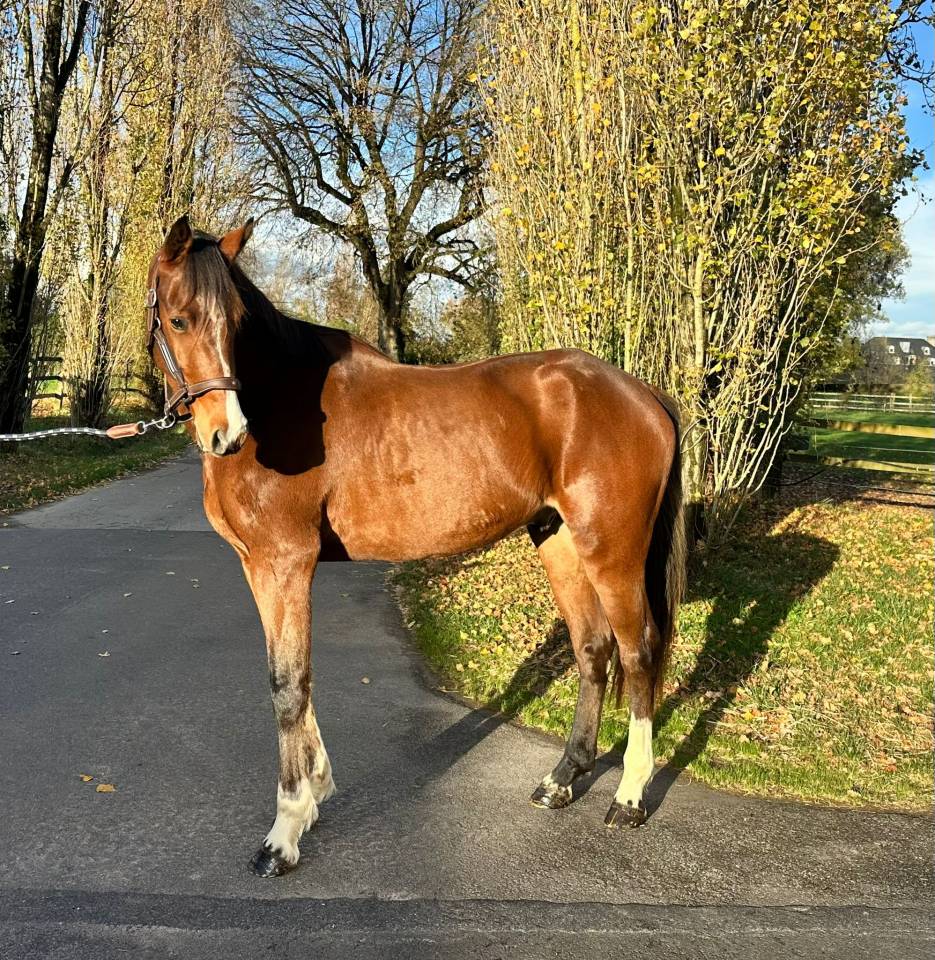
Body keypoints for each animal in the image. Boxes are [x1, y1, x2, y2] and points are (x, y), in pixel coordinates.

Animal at [146, 216, 686, 878]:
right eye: (179, 321)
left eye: (235, 324)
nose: (228, 433)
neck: (279, 402)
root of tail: (645, 395)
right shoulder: (259, 567)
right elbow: (292, 677)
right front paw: (316, 791)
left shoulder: (285, 564)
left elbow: (289, 683)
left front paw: (285, 831)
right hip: (558, 541)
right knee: (593, 650)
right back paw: (561, 780)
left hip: (612, 552)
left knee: (637, 655)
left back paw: (629, 797)